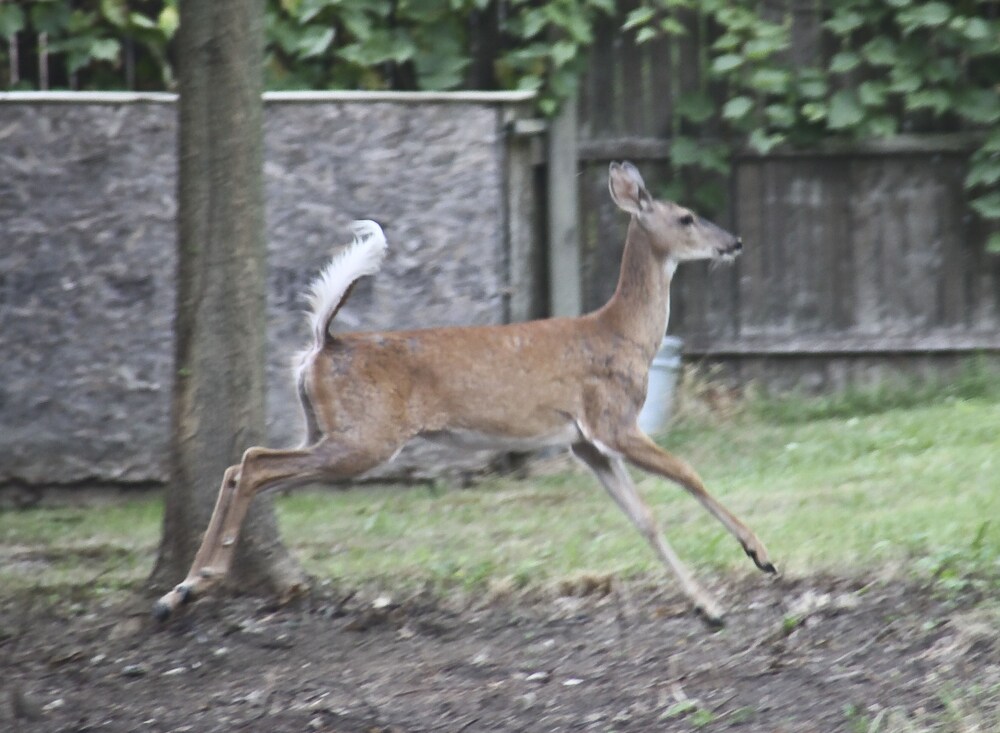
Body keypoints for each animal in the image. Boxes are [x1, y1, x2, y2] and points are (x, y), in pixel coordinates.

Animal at [154, 160, 772, 624]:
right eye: (686, 217)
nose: (737, 241)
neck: (621, 335)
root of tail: (322, 344)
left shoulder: (584, 442)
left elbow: (645, 519)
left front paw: (709, 608)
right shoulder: (612, 418)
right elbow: (689, 474)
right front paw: (759, 555)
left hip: (328, 426)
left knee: (242, 464)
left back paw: (180, 590)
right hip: (366, 436)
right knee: (255, 463)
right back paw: (193, 583)